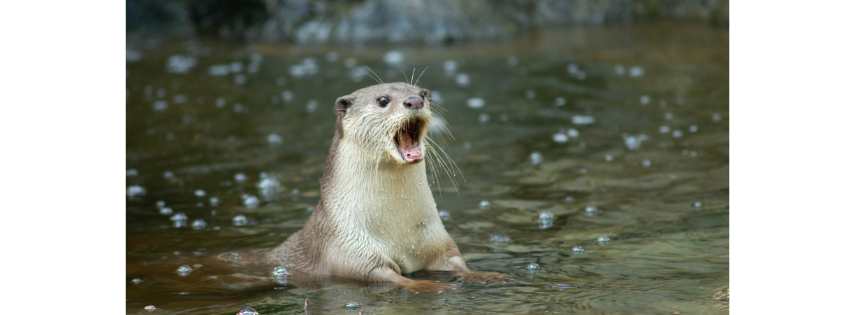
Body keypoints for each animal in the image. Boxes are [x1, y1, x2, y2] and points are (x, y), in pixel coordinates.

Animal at [266, 82, 506, 294]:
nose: (414, 101)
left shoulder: (437, 239)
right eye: (383, 100)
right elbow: (385, 275)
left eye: (422, 93)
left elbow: (455, 260)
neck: (398, 229)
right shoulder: (350, 250)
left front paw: (484, 275)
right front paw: (425, 285)